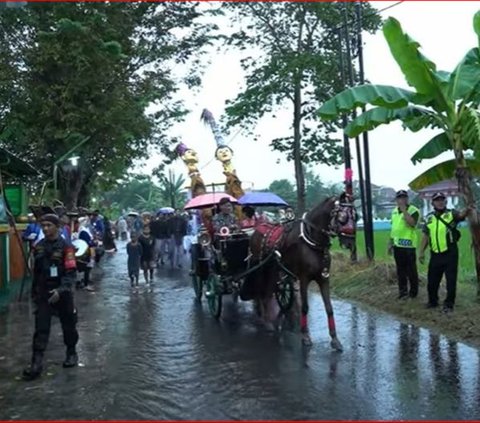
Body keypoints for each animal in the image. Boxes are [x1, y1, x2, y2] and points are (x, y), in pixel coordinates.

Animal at [248, 195, 344, 352]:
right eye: (339, 213)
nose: (349, 233)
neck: (311, 242)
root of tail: (257, 230)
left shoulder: (324, 278)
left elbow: (329, 308)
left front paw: (335, 340)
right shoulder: (304, 278)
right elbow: (305, 307)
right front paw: (305, 336)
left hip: (275, 270)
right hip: (261, 269)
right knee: (262, 292)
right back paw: (265, 320)